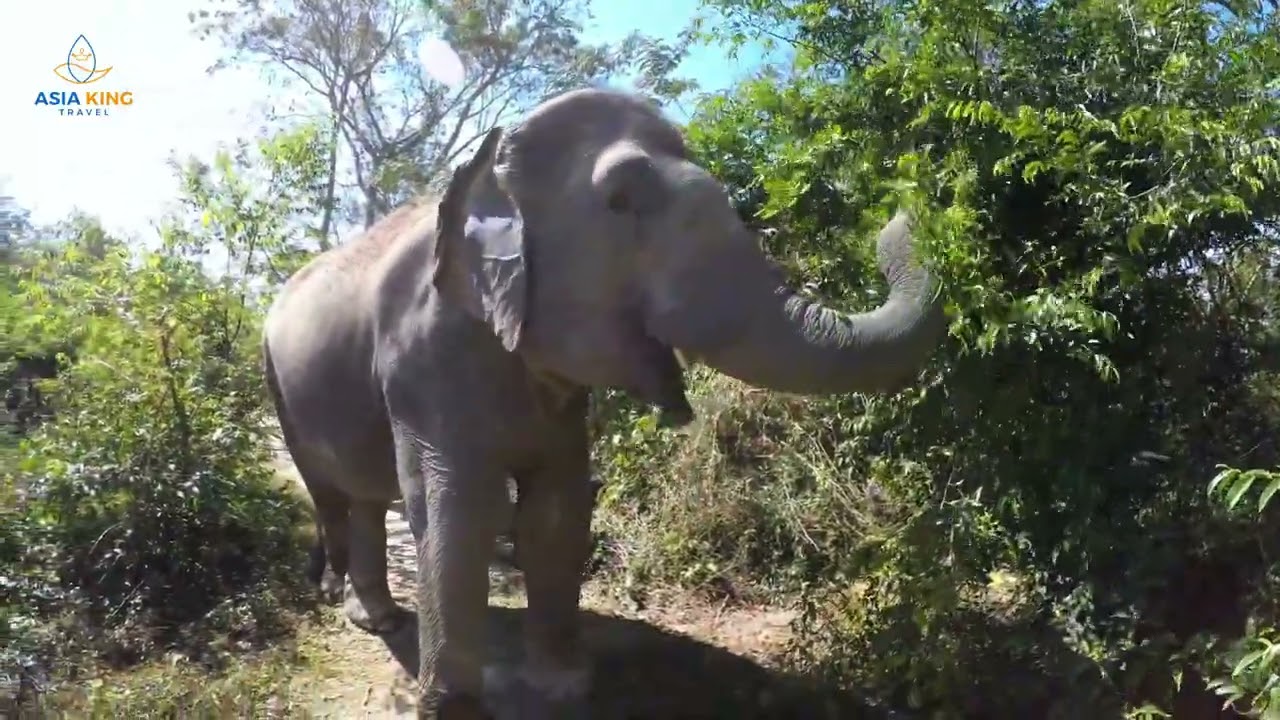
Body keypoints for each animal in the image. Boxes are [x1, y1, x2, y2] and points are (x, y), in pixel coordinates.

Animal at [261, 86, 947, 719]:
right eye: (621, 202)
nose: (902, 210)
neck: (493, 166)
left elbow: (557, 509)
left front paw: (563, 686)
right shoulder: (423, 357)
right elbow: (462, 507)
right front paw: (453, 709)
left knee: (366, 496)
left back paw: (378, 618)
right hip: (278, 385)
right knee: (330, 491)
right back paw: (350, 606)